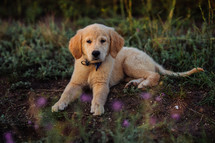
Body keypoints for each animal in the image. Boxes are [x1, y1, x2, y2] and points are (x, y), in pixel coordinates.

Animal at [51, 23, 202, 115]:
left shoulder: (102, 84)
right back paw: (133, 83)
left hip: (130, 63)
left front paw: (97, 107)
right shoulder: (75, 83)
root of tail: (151, 59)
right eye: (88, 41)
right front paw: (58, 104)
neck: (92, 66)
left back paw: (143, 84)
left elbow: (99, 96)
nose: (96, 53)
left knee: (155, 75)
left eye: (103, 41)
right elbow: (66, 93)